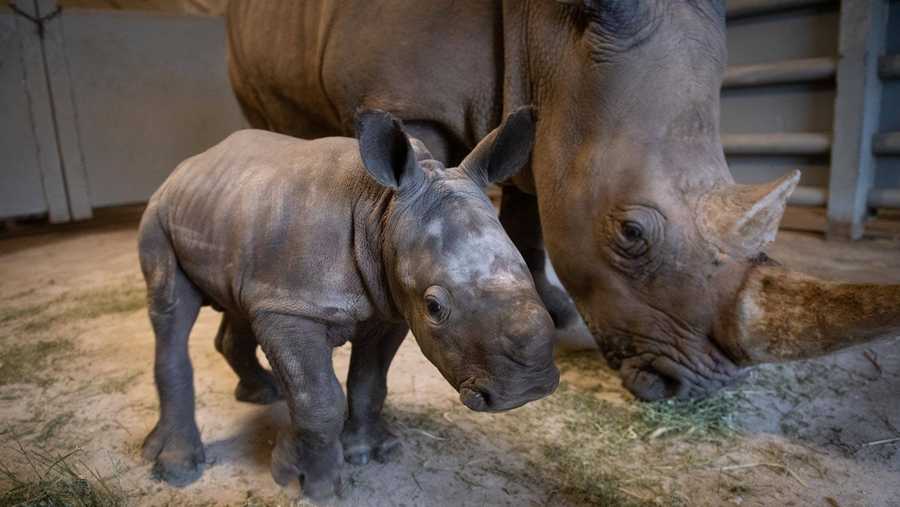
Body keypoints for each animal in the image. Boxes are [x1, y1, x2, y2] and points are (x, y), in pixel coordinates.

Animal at [137, 107, 560, 500]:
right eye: (434, 307)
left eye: (526, 270)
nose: (528, 388)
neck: (382, 209)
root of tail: (189, 165)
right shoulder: (290, 310)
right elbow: (318, 399)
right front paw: (307, 482)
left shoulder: (387, 309)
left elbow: (369, 382)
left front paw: (371, 451)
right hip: (158, 215)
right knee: (170, 311)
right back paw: (176, 468)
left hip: (230, 216)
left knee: (240, 303)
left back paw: (263, 394)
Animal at [229, 1, 900, 402]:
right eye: (631, 234)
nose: (690, 390)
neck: (551, 35)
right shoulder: (409, 97)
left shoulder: (546, 109)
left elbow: (532, 212)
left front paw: (552, 312)